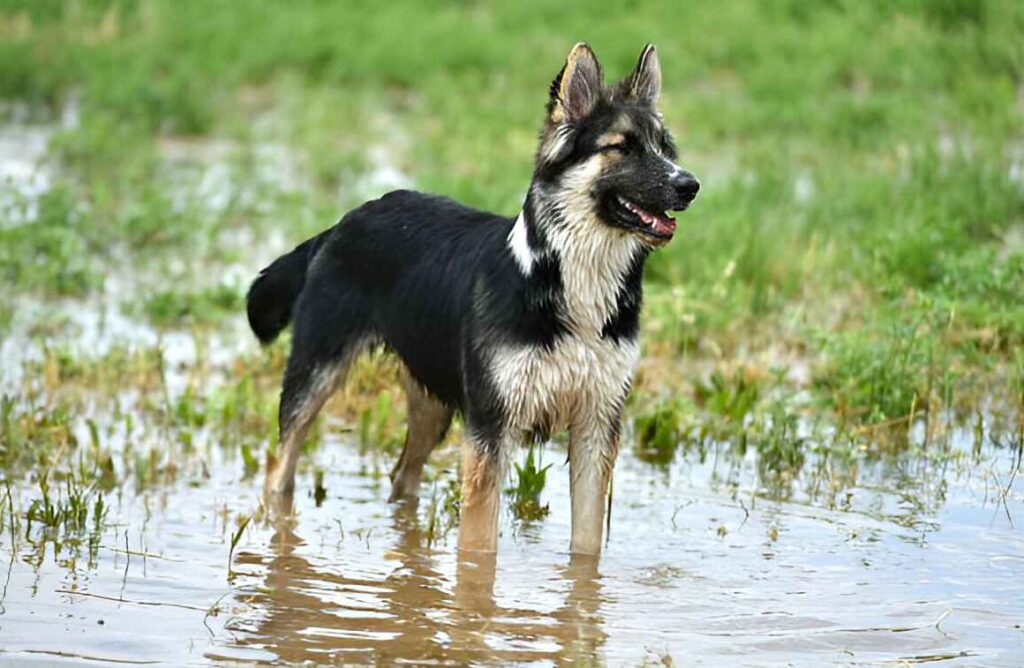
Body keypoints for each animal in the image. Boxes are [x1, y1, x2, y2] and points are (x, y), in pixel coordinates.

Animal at [243, 40, 700, 553]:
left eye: (666, 148)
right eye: (621, 147)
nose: (690, 185)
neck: (569, 280)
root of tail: (346, 219)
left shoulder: (596, 427)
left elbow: (586, 546)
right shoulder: (490, 430)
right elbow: (479, 549)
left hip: (434, 401)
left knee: (402, 477)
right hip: (315, 376)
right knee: (279, 467)